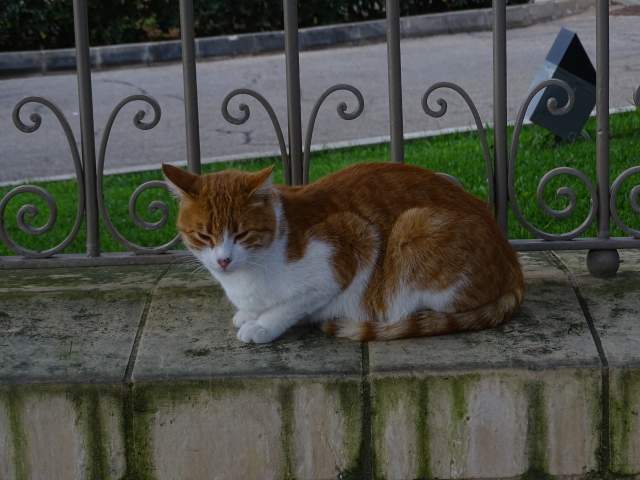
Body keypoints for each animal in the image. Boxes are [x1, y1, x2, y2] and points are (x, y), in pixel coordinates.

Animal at [162, 163, 524, 344]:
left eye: (241, 234)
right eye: (204, 236)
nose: (223, 260)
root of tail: (511, 260)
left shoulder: (350, 246)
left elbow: (292, 304)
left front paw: (262, 325)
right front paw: (249, 313)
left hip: (414, 227)